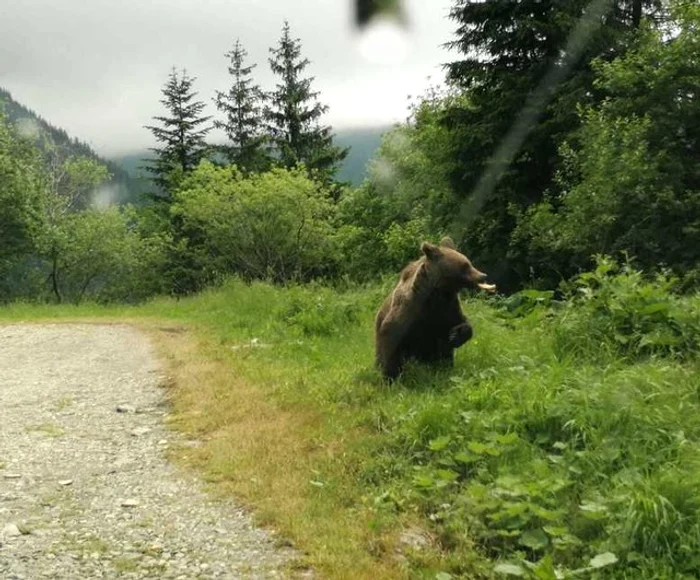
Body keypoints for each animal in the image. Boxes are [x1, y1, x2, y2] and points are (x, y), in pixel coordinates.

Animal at [374, 237, 494, 380]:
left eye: (468, 262)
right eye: (465, 265)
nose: (483, 275)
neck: (437, 293)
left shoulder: (448, 307)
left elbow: (460, 323)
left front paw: (456, 335)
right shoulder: (410, 309)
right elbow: (391, 336)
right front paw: (391, 375)